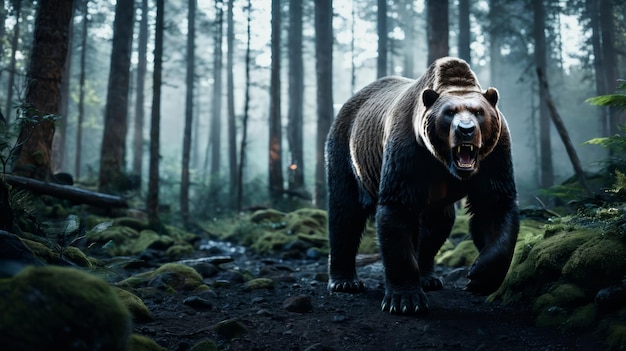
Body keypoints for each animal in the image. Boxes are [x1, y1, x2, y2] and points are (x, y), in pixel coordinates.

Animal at [322, 56, 516, 314]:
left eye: (478, 111)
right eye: (449, 112)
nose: (466, 130)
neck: (443, 163)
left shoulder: (494, 156)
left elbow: (494, 206)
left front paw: (480, 276)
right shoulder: (408, 151)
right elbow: (398, 210)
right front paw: (405, 300)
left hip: (437, 200)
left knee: (438, 225)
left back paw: (429, 277)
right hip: (348, 153)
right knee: (345, 213)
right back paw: (344, 281)